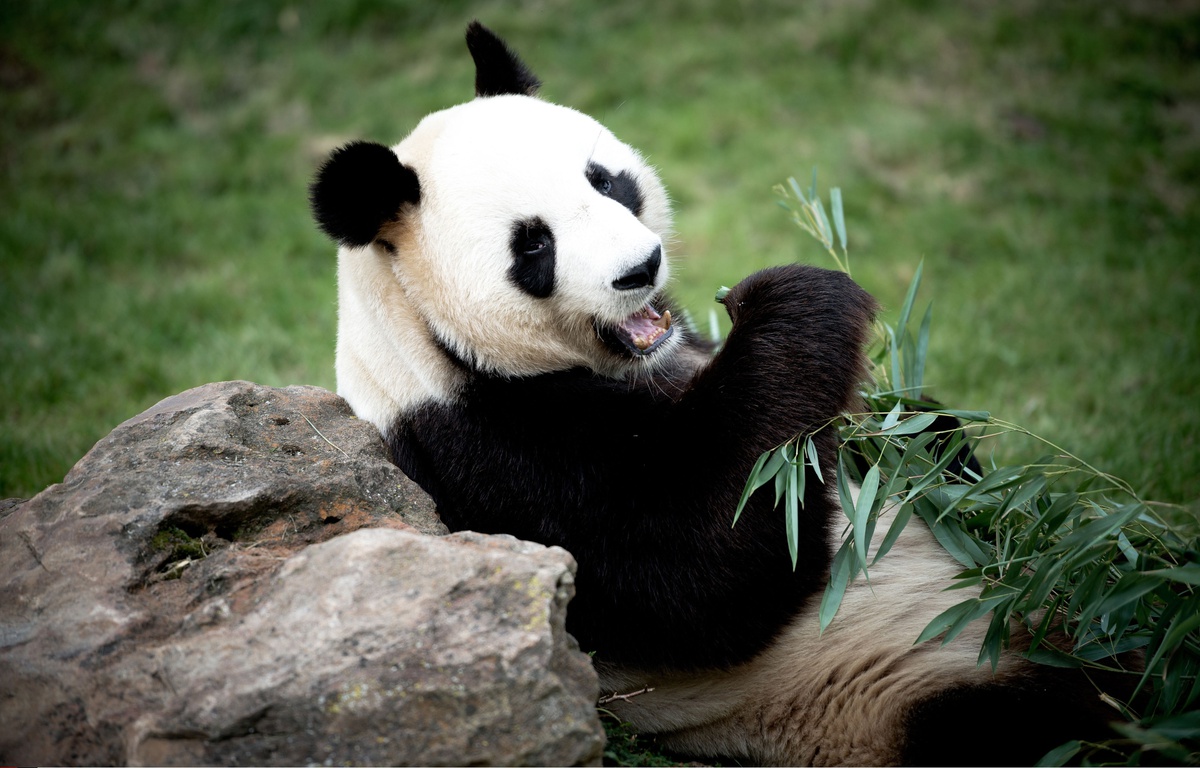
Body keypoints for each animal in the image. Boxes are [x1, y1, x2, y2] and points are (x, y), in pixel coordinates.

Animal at [309, 21, 1123, 763]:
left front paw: (926, 442)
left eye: (605, 181)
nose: (640, 269)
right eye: (533, 245)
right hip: (895, 687)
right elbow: (695, 572)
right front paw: (793, 300)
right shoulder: (485, 459)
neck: (429, 338)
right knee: (1025, 726)